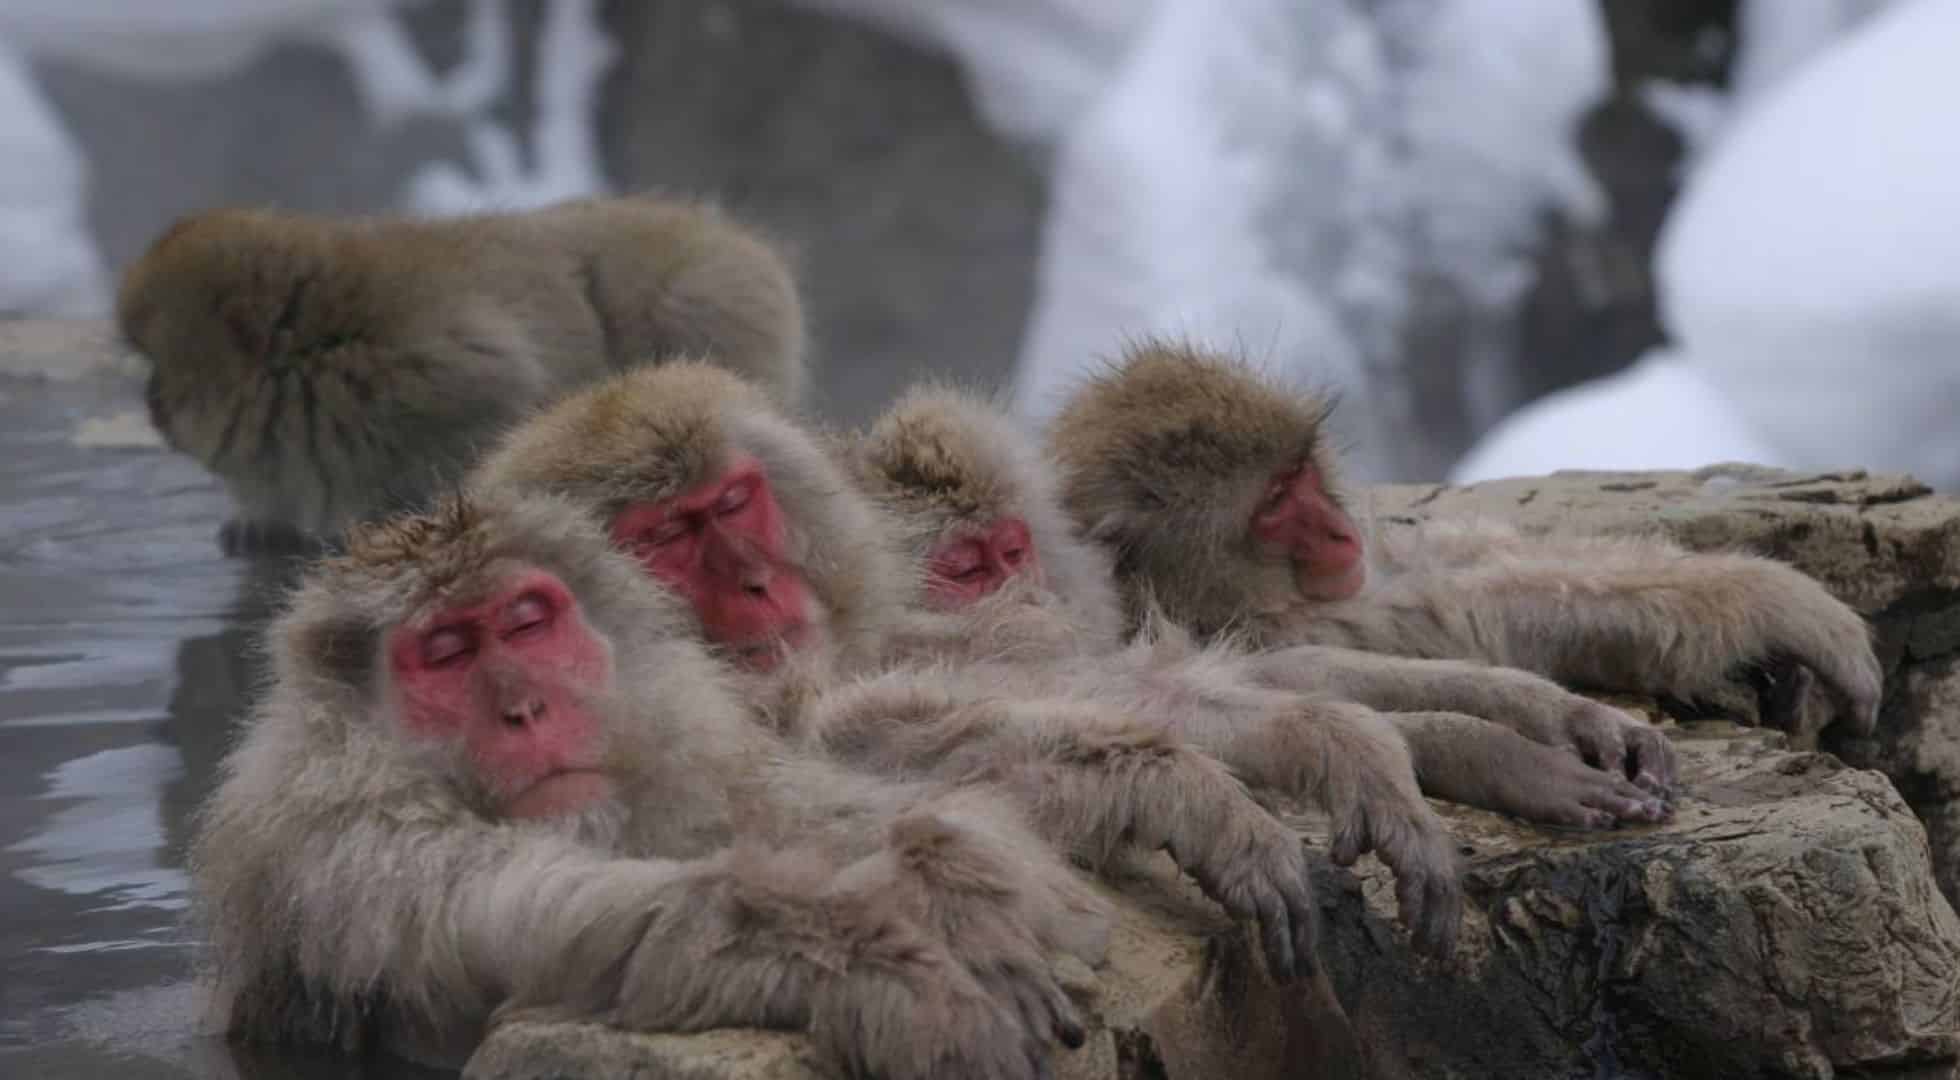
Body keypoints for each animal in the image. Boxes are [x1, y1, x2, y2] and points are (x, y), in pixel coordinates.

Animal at [118, 190, 807, 552]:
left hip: (705, 301)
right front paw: (263, 524)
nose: (151, 406)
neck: (315, 354)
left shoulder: (434, 371)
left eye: (158, 368)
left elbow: (501, 402)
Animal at [191, 493, 1324, 1074]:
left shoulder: (693, 740)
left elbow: (823, 780)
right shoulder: (353, 851)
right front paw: (889, 961)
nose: (524, 708)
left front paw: (957, 872)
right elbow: (544, 919)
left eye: (524, 623)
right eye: (443, 654)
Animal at [1042, 341, 1881, 787]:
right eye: (1274, 502)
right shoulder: (1267, 625)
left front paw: (1773, 598)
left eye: (1300, 472)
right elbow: (1457, 614)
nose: (1339, 533)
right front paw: (1771, 600)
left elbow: (1449, 567)